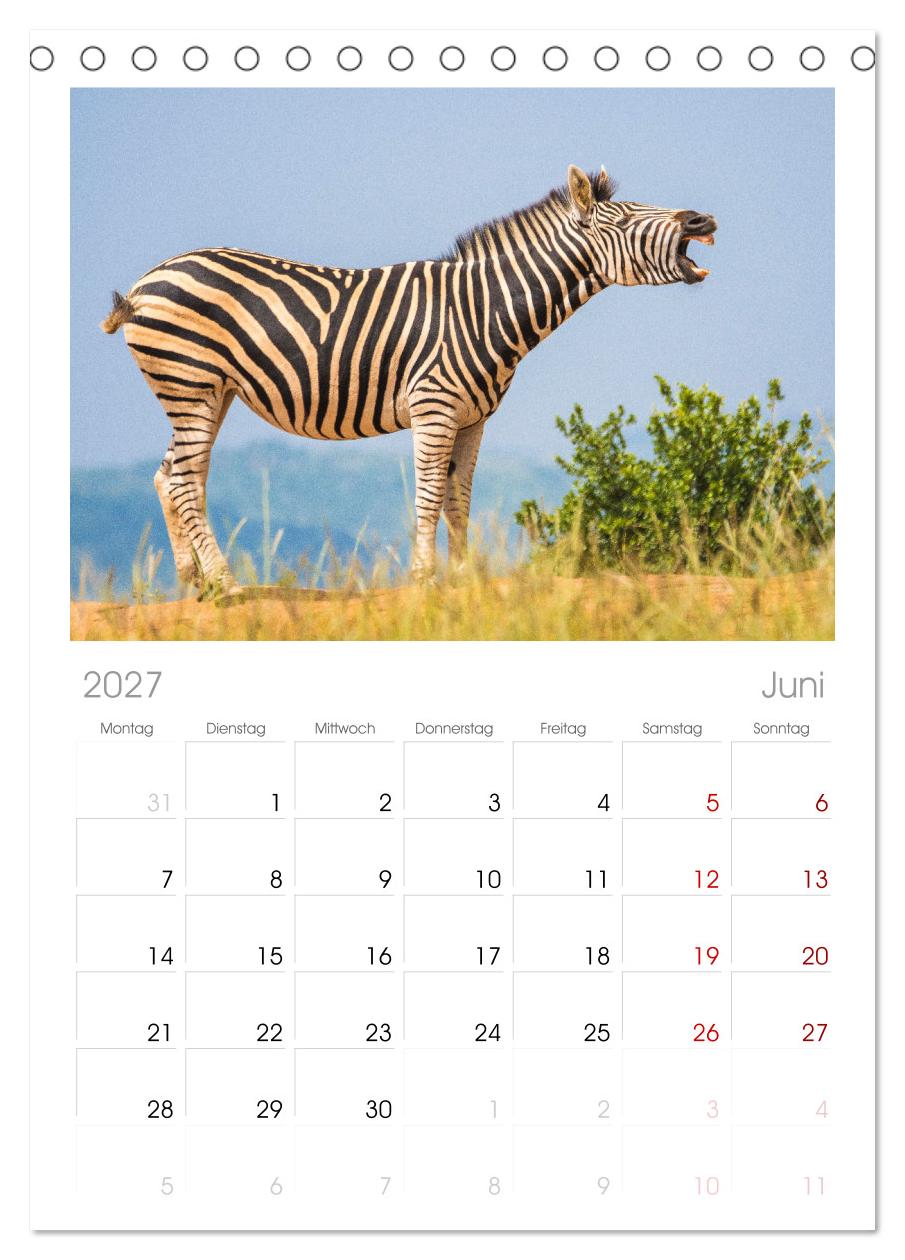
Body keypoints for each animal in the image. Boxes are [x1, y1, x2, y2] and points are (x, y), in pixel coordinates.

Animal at [100, 165, 717, 594]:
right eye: (629, 218)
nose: (703, 220)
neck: (485, 309)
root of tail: (144, 282)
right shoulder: (434, 407)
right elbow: (427, 496)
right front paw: (424, 579)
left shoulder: (473, 419)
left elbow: (458, 498)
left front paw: (465, 578)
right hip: (190, 382)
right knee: (184, 479)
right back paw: (228, 585)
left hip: (209, 391)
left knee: (171, 476)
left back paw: (195, 583)